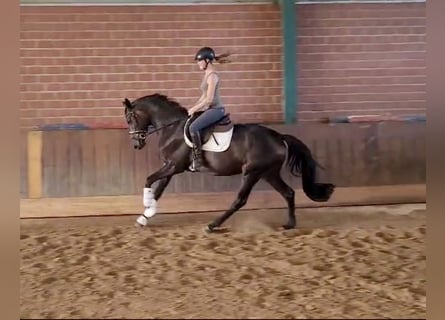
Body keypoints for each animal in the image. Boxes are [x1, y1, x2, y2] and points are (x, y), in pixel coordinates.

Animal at [121, 92, 332, 232]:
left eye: (130, 118)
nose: (136, 144)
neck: (172, 128)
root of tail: (279, 137)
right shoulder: (170, 167)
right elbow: (158, 190)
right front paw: (145, 217)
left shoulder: (174, 166)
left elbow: (149, 180)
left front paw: (146, 206)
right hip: (268, 173)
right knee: (288, 193)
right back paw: (290, 224)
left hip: (252, 173)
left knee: (240, 200)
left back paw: (213, 225)